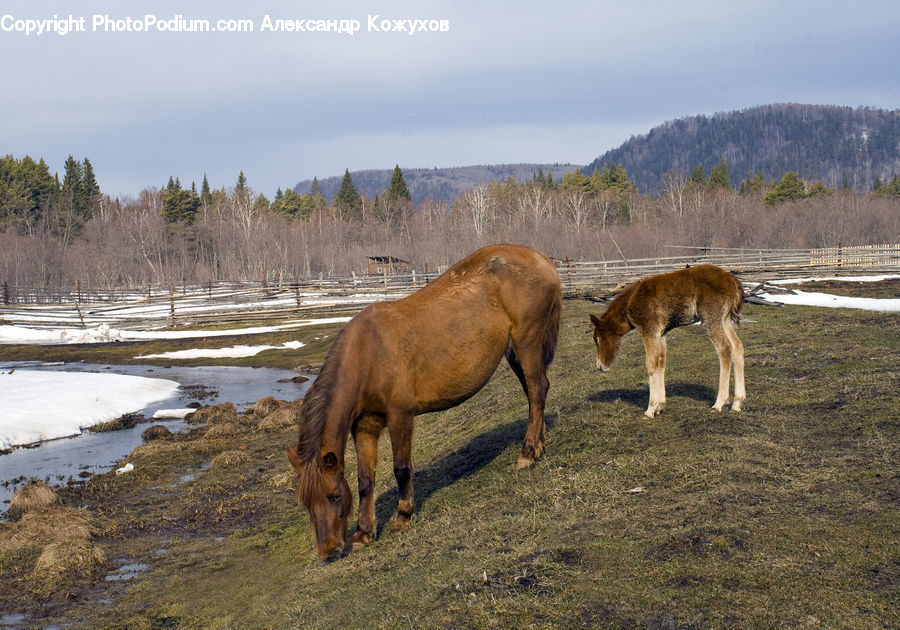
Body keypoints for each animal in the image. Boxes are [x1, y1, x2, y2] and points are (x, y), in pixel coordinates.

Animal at [284, 244, 560, 560]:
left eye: (335, 496)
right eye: (307, 503)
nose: (328, 551)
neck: (368, 356)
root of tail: (540, 259)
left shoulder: (400, 417)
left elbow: (401, 468)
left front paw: (404, 516)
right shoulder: (364, 428)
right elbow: (366, 481)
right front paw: (364, 533)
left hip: (527, 342)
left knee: (537, 389)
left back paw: (527, 453)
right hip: (515, 352)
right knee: (533, 394)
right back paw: (538, 443)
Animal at [592, 266, 744, 420]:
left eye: (596, 339)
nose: (600, 366)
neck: (630, 302)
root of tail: (733, 280)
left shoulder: (650, 330)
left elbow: (651, 364)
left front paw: (650, 409)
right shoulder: (661, 333)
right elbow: (661, 363)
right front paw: (660, 406)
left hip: (711, 319)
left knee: (725, 349)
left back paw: (719, 403)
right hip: (725, 319)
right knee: (737, 346)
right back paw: (737, 403)